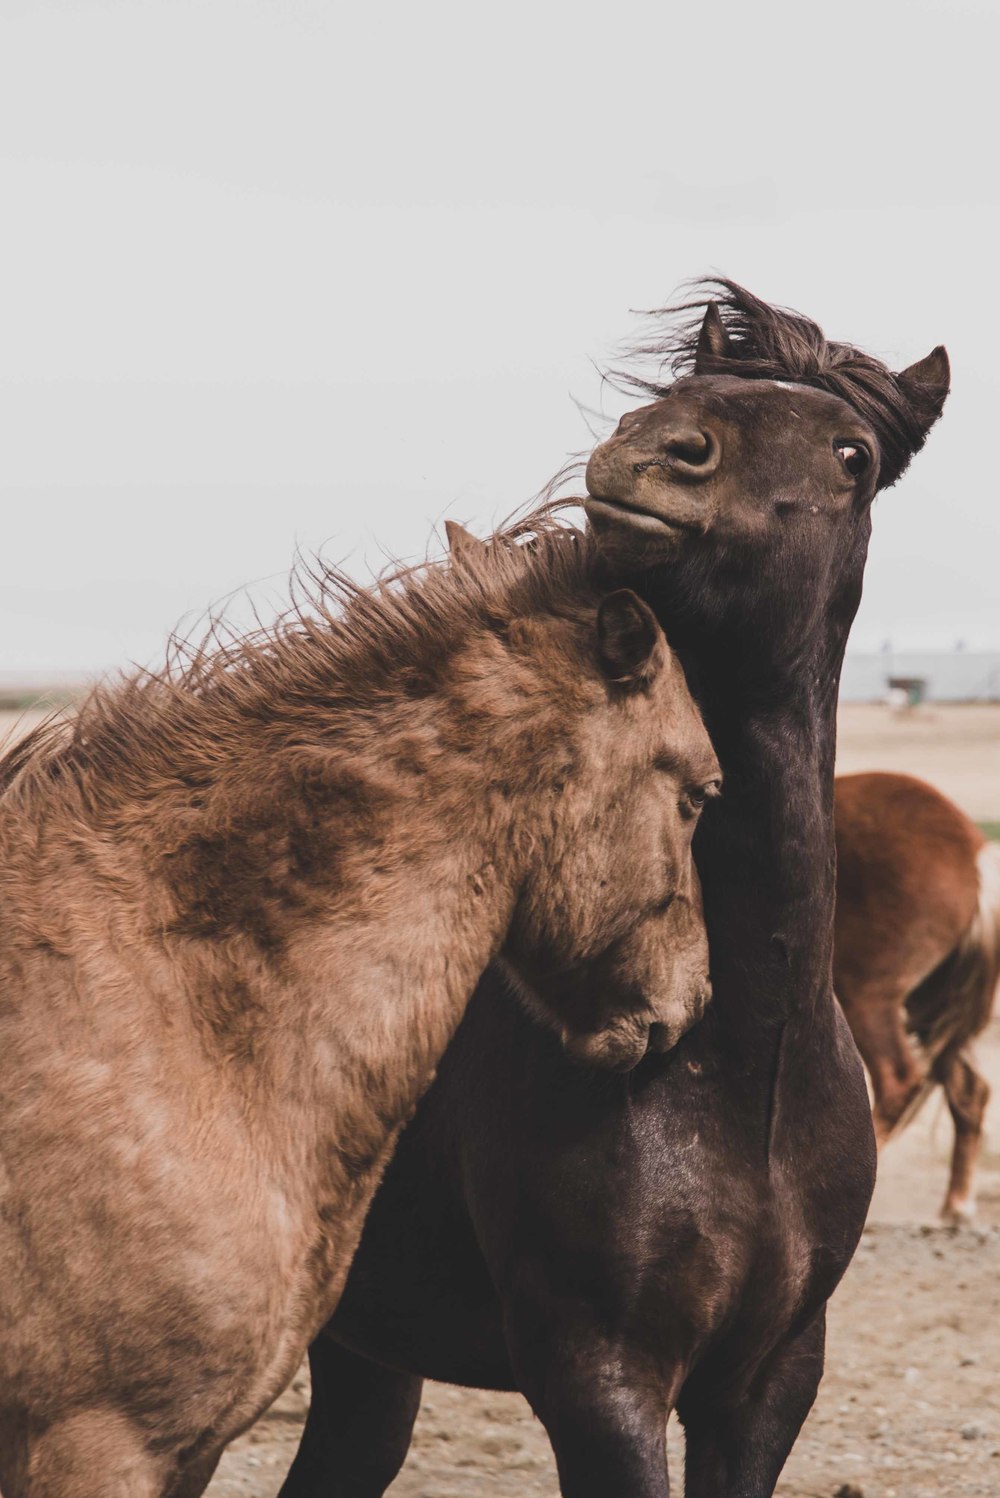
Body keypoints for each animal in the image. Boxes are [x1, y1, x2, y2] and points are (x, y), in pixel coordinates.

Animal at [276, 283, 952, 1498]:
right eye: (681, 392)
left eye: (853, 454)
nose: (659, 449)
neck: (735, 1068)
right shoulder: (599, 1376)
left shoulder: (769, 1380)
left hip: (364, 1359)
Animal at [838, 772, 999, 1228]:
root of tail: (974, 854)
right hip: (930, 1003)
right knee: (970, 1089)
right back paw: (956, 1207)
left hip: (867, 993)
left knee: (898, 1082)